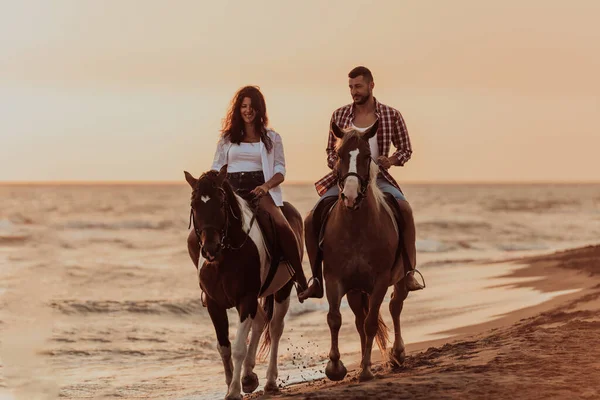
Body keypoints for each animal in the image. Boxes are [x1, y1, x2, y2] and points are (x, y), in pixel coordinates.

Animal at [183, 165, 304, 396]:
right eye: (194, 205)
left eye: (221, 202)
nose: (210, 249)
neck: (225, 257)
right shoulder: (214, 303)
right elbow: (224, 347)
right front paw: (232, 382)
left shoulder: (245, 298)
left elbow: (239, 346)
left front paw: (233, 391)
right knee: (260, 321)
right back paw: (248, 377)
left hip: (283, 289)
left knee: (275, 328)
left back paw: (270, 381)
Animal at [310, 121, 412, 382]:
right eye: (339, 155)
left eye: (367, 156)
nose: (351, 196)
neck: (356, 227)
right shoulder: (334, 278)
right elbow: (335, 319)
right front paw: (335, 368)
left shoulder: (380, 280)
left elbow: (371, 323)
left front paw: (365, 370)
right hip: (356, 290)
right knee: (358, 319)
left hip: (399, 279)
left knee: (395, 306)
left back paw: (398, 354)